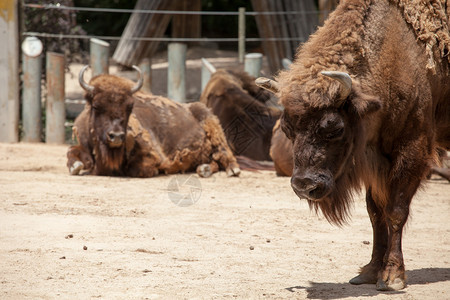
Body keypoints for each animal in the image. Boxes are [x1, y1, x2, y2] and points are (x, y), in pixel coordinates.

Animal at [66, 66, 241, 178]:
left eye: (130, 106)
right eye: (96, 106)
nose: (116, 136)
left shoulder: (152, 156)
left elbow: (137, 169)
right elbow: (71, 152)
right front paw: (76, 166)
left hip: (213, 126)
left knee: (224, 153)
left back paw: (232, 170)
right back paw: (204, 169)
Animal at [256, 0, 450, 292]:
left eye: (334, 127)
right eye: (288, 129)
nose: (304, 186)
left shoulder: (411, 151)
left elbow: (396, 211)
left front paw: (392, 277)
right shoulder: (372, 161)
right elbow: (375, 212)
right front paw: (369, 272)